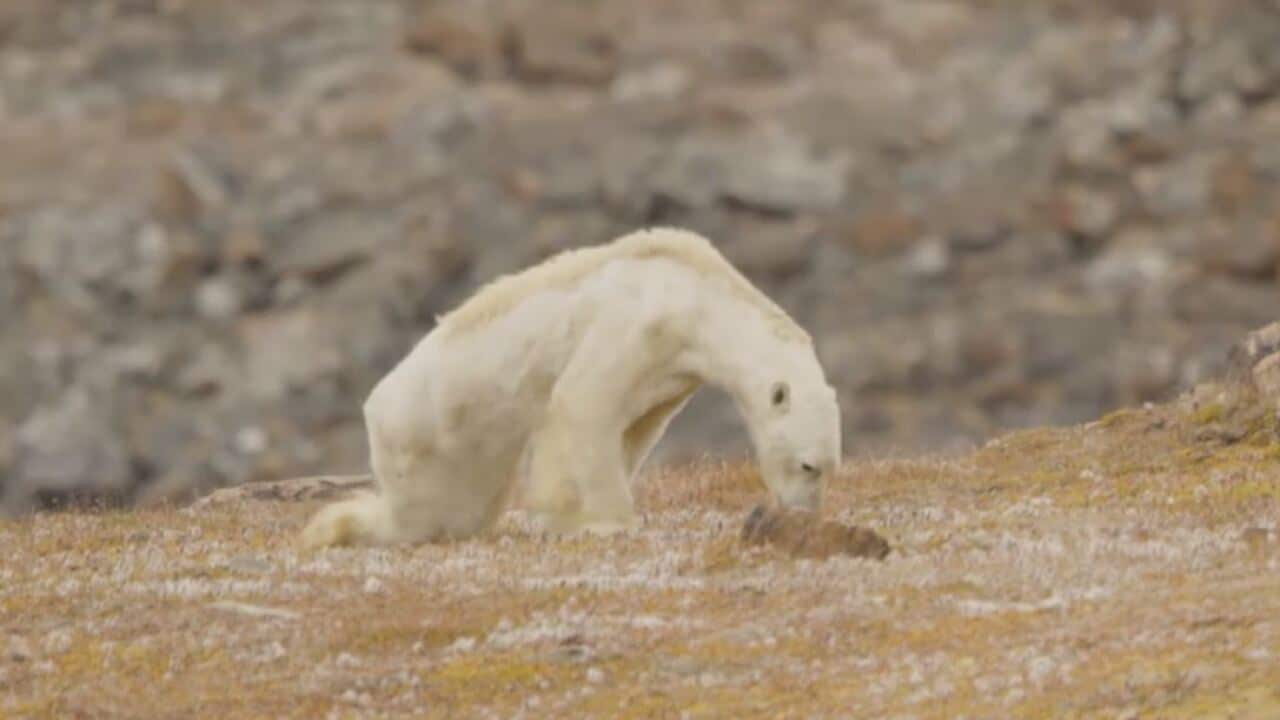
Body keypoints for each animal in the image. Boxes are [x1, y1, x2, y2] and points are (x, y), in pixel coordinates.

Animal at [301, 227, 841, 548]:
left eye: (830, 467)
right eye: (808, 465)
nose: (803, 516)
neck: (696, 294)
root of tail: (374, 406)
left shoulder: (672, 373)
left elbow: (633, 428)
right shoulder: (638, 323)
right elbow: (583, 403)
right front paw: (599, 519)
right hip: (426, 438)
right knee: (424, 516)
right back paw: (330, 529)